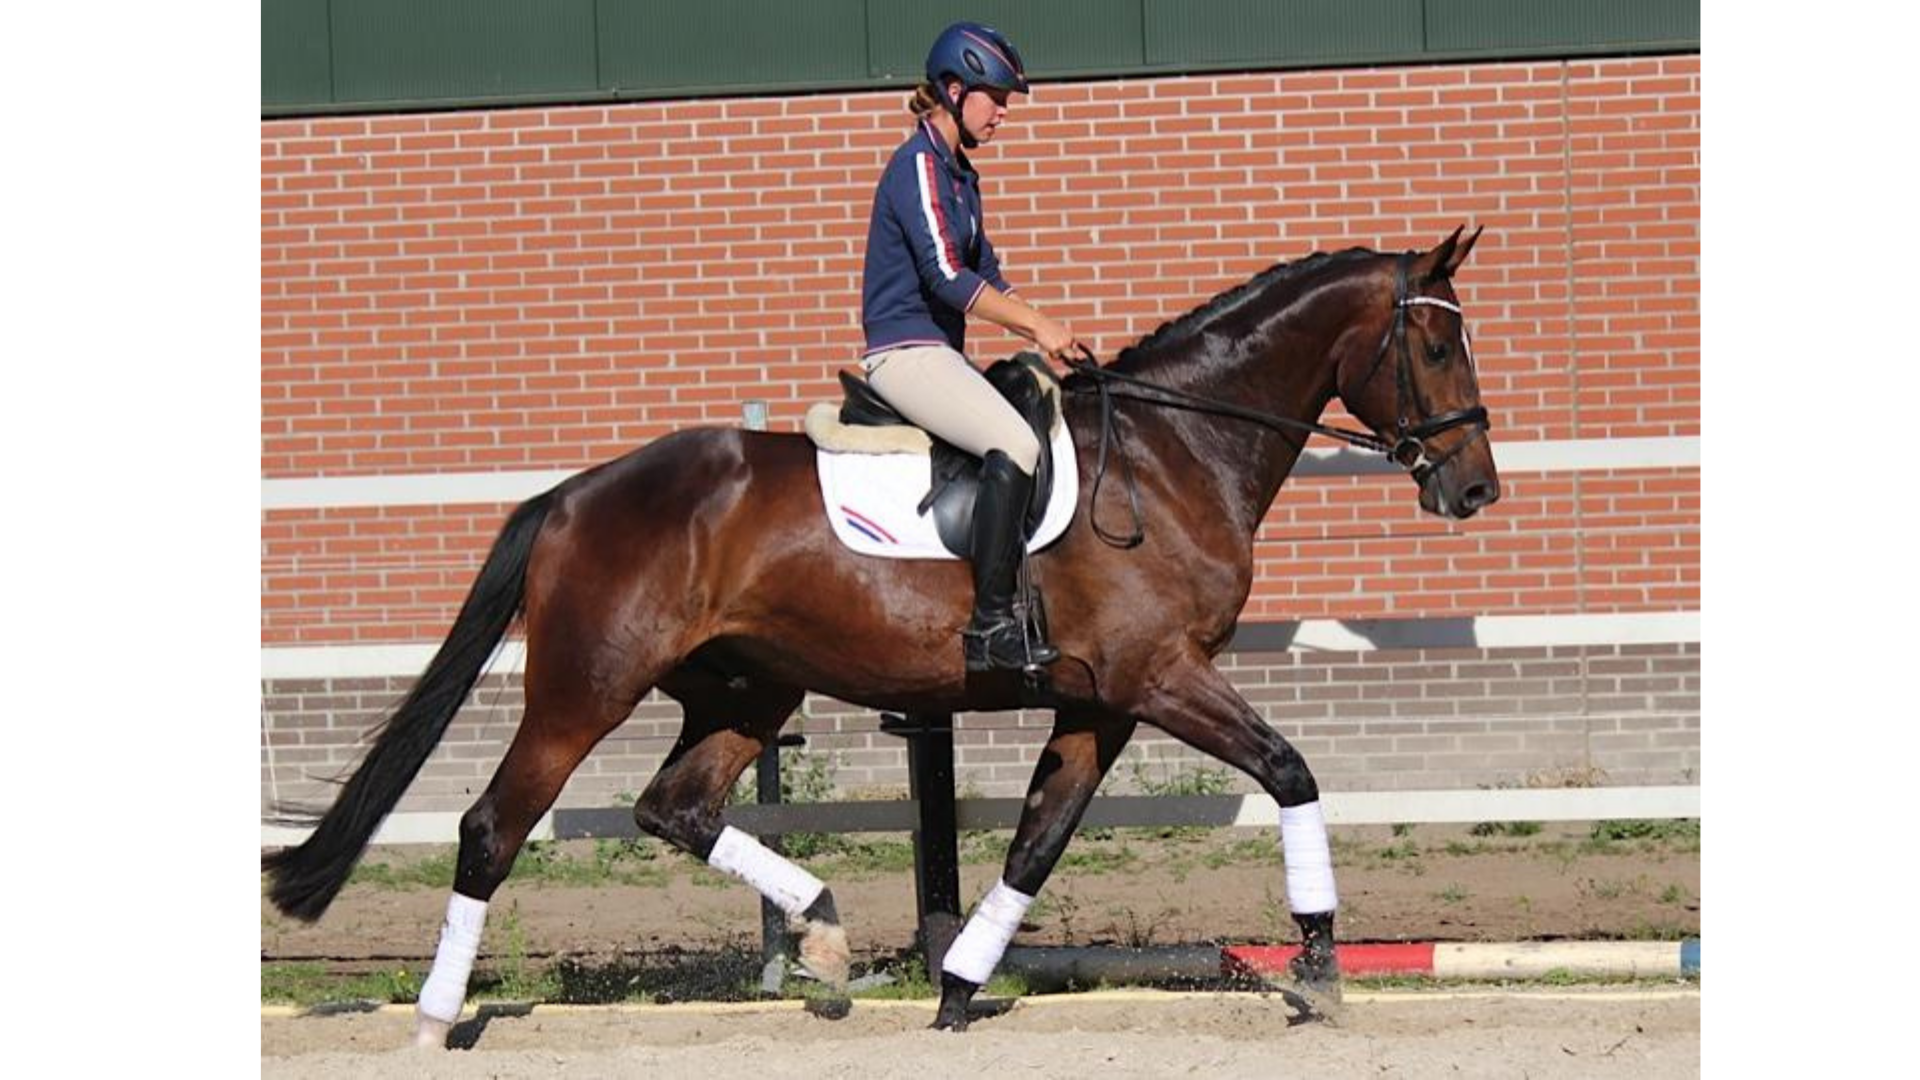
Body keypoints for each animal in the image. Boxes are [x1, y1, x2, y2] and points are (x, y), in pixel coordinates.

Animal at [263, 226, 1499, 1044]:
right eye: (1438, 350)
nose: (1474, 487)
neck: (1171, 449)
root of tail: (573, 494)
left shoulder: (1098, 697)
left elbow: (1036, 844)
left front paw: (956, 987)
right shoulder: (1159, 676)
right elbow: (1291, 772)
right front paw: (1322, 967)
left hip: (744, 691)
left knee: (678, 808)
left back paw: (818, 934)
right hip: (584, 691)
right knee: (492, 827)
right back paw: (438, 1020)